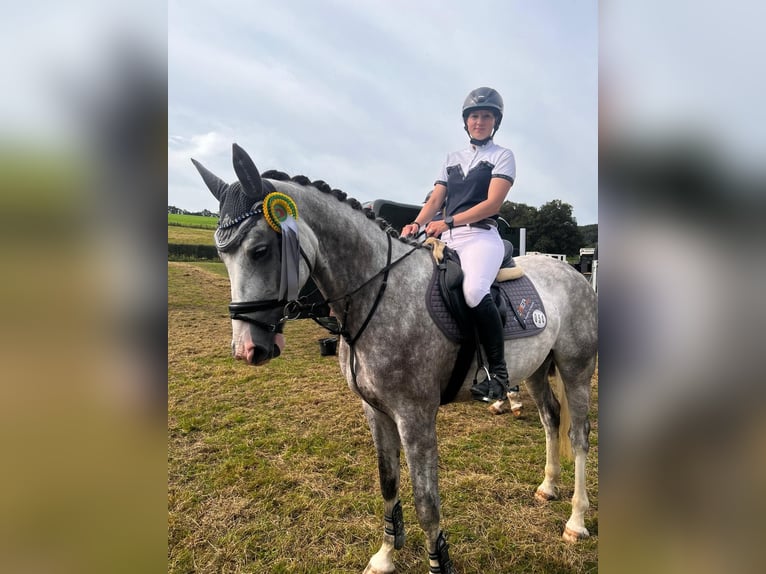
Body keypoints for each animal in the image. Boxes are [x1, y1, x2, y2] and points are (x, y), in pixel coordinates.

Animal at [194, 145, 600, 574]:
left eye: (259, 250)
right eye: (221, 254)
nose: (247, 349)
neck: (378, 291)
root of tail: (571, 271)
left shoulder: (415, 416)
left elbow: (427, 503)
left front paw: (438, 563)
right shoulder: (375, 410)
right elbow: (387, 482)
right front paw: (386, 556)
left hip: (576, 368)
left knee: (579, 435)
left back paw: (576, 521)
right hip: (538, 370)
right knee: (551, 419)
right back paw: (548, 487)